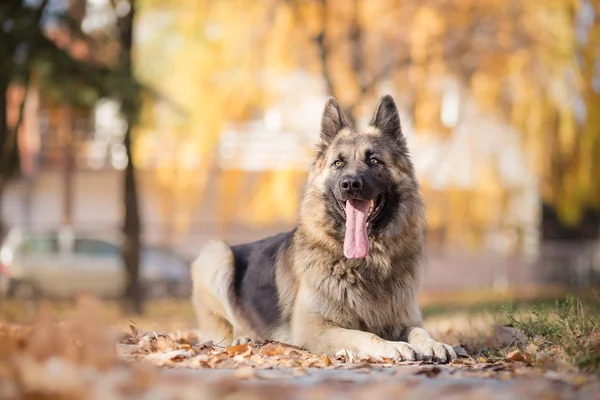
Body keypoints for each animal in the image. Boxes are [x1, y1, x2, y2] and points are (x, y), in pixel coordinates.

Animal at [191, 94, 454, 362]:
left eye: (374, 160)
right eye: (338, 163)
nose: (350, 184)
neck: (365, 262)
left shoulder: (406, 319)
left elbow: (419, 330)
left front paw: (433, 343)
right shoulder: (314, 330)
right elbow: (364, 334)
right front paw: (392, 346)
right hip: (216, 255)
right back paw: (242, 339)